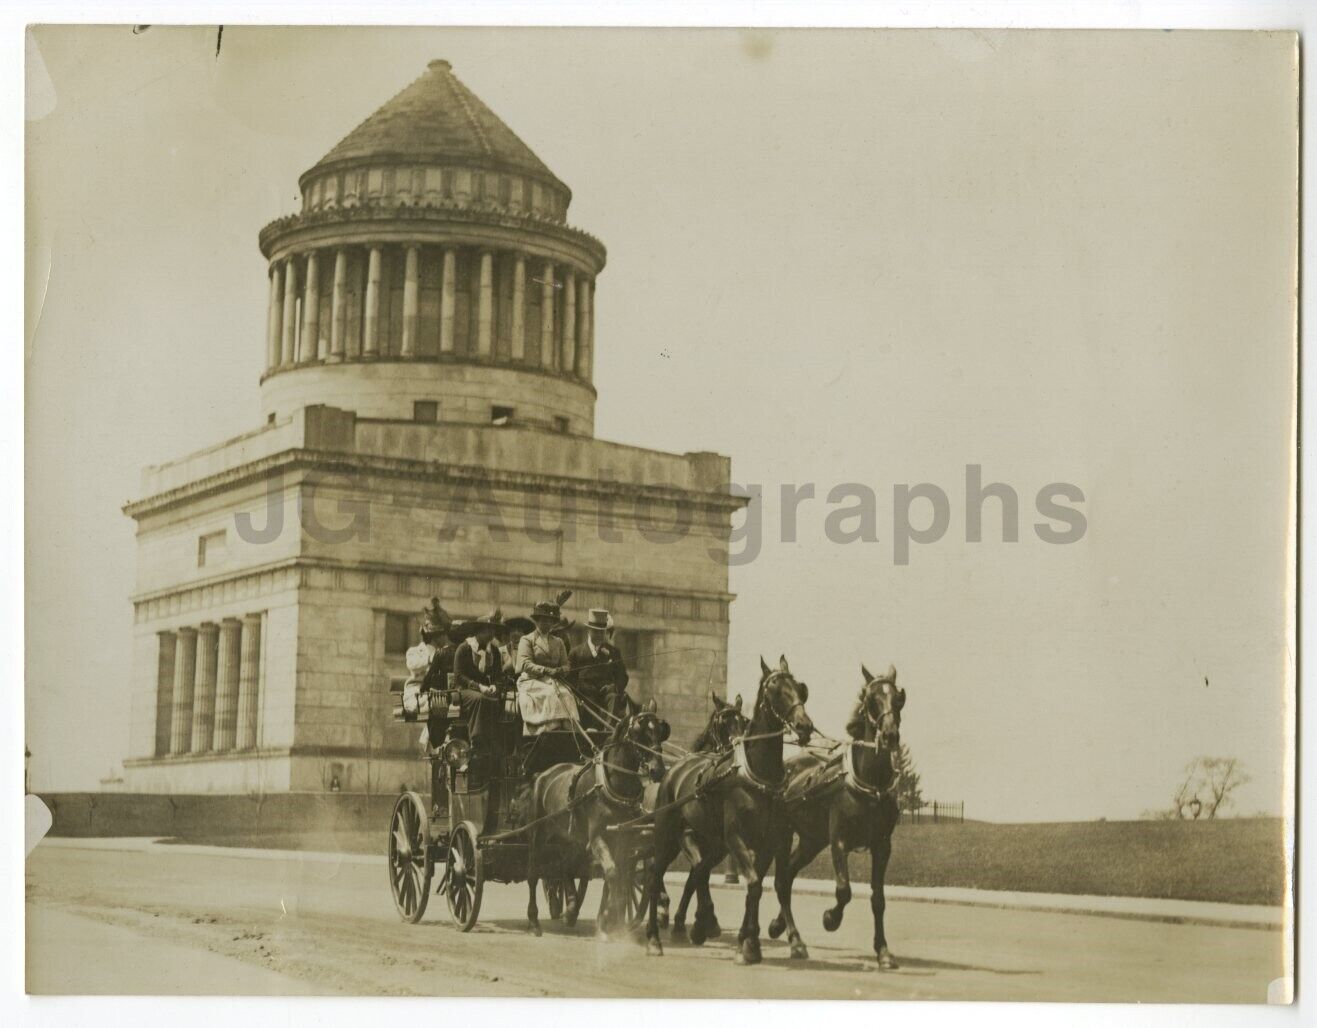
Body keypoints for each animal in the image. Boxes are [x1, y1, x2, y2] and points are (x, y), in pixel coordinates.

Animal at [526, 705, 669, 937]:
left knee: (565, 867)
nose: (658, 770)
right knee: (533, 873)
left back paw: (571, 909)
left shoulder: (623, 839)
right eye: (637, 733)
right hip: (538, 835)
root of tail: (543, 774)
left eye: (660, 731)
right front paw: (608, 917)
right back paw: (534, 921)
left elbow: (619, 876)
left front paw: (609, 920)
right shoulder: (597, 838)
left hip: (570, 839)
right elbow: (612, 873)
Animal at [645, 658, 811, 963]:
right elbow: (753, 883)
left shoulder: (772, 841)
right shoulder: (735, 838)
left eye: (800, 688)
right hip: (667, 836)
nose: (804, 725)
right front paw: (748, 943)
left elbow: (765, 886)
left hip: (712, 844)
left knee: (696, 872)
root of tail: (673, 770)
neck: (761, 776)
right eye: (775, 691)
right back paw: (654, 937)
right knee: (654, 876)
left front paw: (756, 938)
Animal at [769, 660, 906, 968]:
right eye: (871, 699)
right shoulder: (839, 840)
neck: (871, 783)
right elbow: (844, 890)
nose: (890, 735)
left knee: (788, 874)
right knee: (782, 878)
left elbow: (878, 899)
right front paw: (830, 918)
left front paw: (883, 951)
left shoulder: (883, 845)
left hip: (811, 840)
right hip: (786, 833)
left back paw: (779, 925)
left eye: (898, 699)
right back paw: (794, 939)